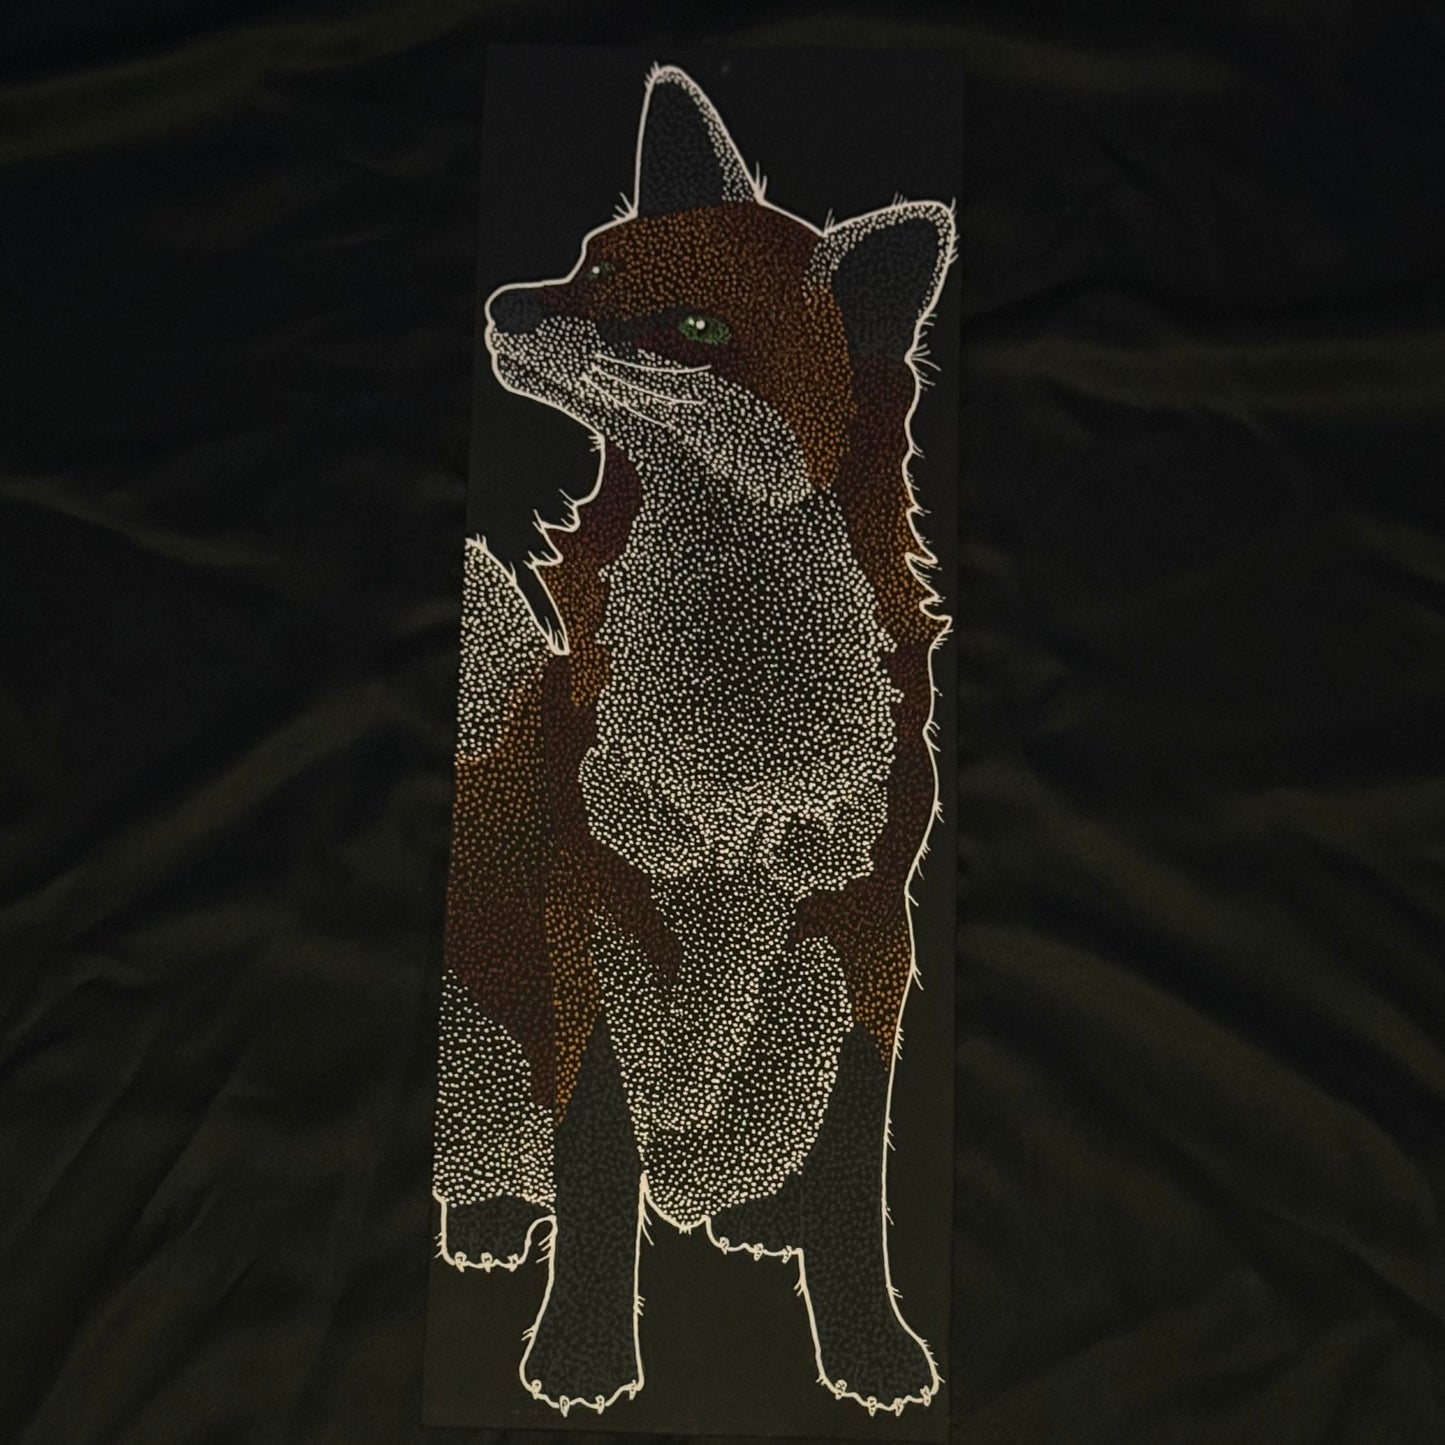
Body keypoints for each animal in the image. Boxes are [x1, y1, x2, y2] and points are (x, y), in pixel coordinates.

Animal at [433, 63, 956, 1418]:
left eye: (693, 325)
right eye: (590, 260)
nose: (505, 303)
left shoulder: (868, 934)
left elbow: (853, 1193)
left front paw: (870, 1348)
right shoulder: (588, 920)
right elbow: (595, 1179)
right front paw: (578, 1355)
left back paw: (754, 1216)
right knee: (527, 1168)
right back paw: (492, 1219)